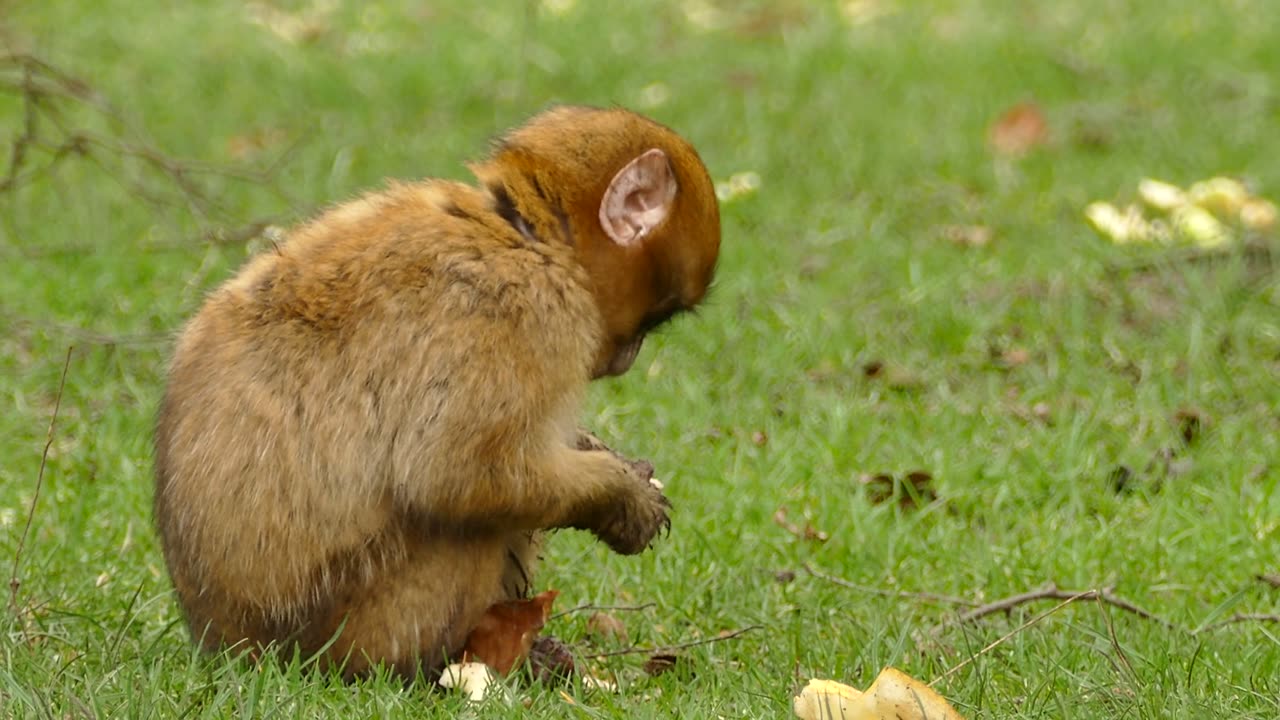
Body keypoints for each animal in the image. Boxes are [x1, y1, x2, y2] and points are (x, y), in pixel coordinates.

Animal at [152, 106, 721, 676]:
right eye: (658, 314)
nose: (630, 356)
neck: (525, 235)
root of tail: (227, 643)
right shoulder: (521, 312)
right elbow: (454, 475)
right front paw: (619, 496)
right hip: (356, 630)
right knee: (467, 523)